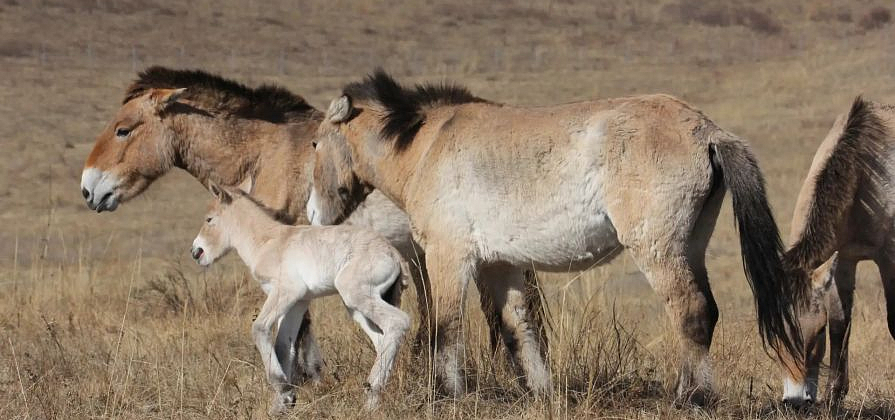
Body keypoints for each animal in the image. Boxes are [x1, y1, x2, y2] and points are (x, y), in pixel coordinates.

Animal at [192, 181, 410, 413]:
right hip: (356, 306)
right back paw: (372, 402)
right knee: (382, 339)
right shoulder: (298, 302)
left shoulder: (287, 291)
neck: (268, 241)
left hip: (355, 293)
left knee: (398, 322)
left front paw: (283, 387)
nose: (196, 252)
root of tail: (394, 254)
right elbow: (283, 345)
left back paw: (372, 389)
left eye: (209, 219)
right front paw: (283, 403)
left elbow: (259, 328)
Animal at [307, 69, 807, 403]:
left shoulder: (449, 258)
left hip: (658, 250)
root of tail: (707, 131)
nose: (313, 214)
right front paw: (541, 393)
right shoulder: (500, 264)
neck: (428, 144)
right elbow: (519, 329)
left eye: (314, 144)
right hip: (691, 246)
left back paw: (691, 398)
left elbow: (445, 328)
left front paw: (447, 394)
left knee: (691, 312)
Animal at [778, 97, 893, 405]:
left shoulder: (889, 258)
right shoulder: (844, 258)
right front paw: (834, 394)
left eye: (817, 333)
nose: (795, 401)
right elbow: (841, 322)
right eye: (776, 334)